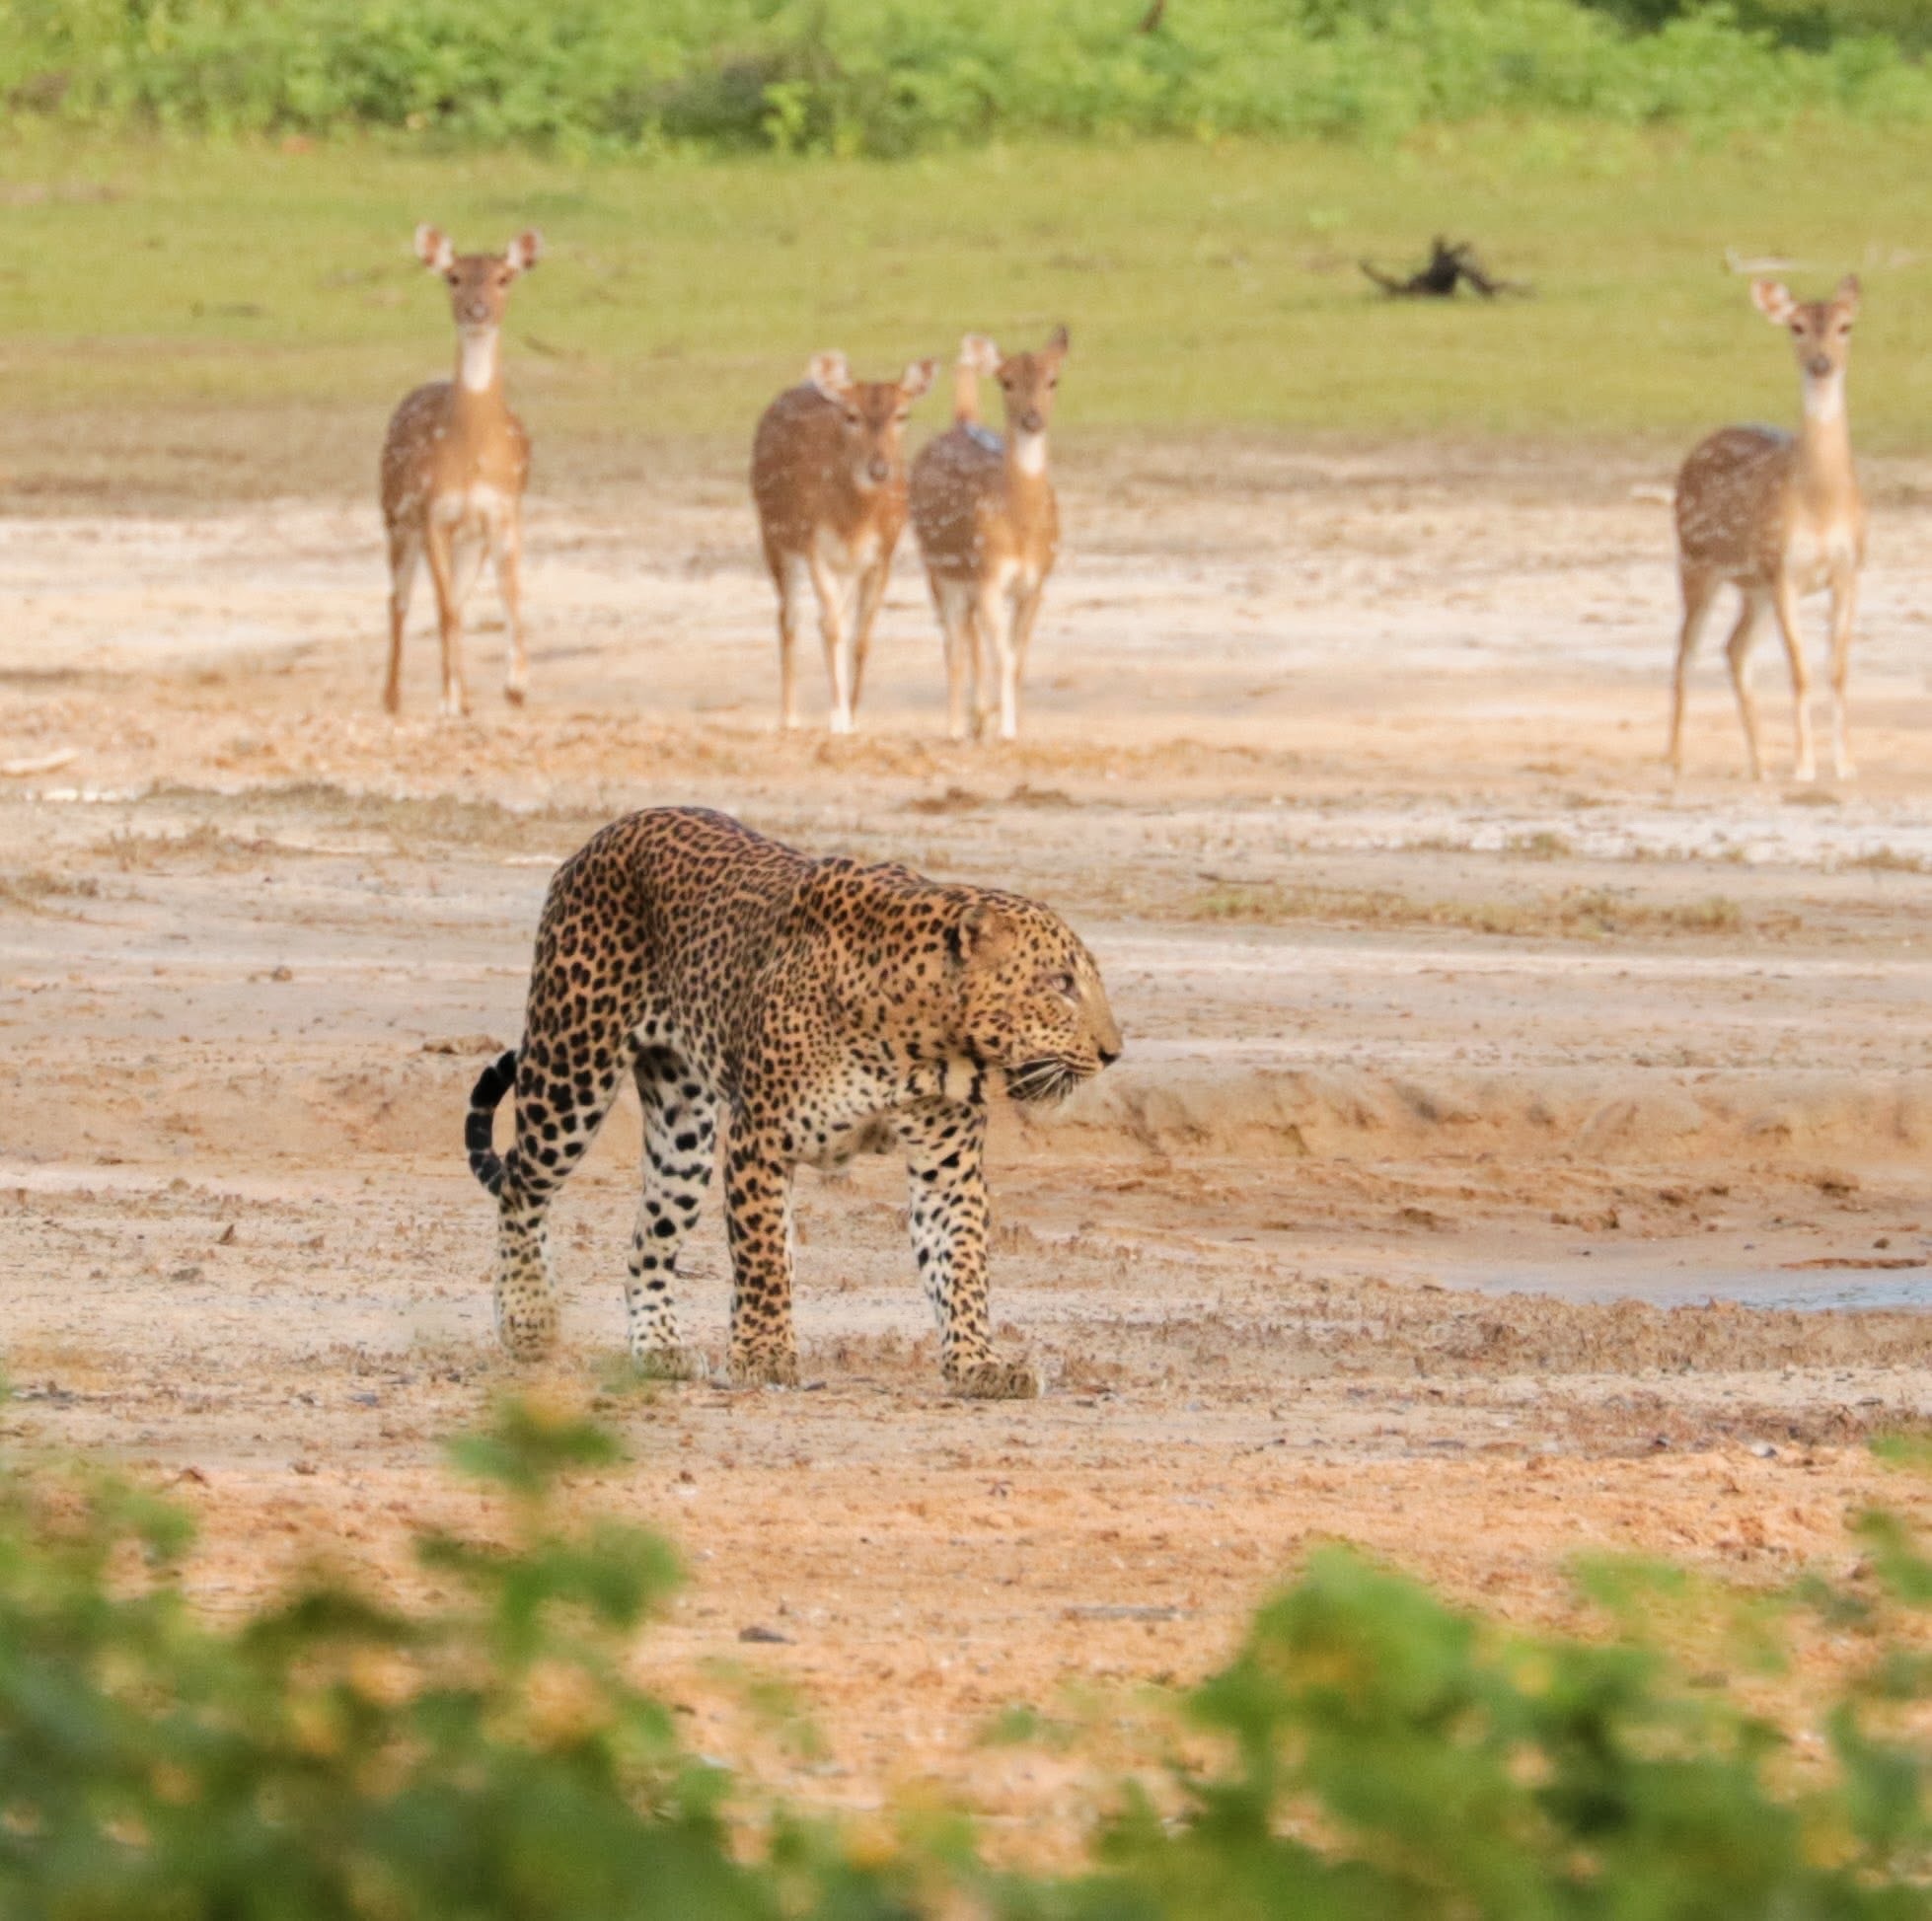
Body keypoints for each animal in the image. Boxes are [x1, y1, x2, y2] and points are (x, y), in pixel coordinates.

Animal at [466, 806, 1121, 1397]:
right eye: (1060, 984)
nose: (1114, 1052)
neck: (922, 1040)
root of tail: (605, 834)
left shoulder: (948, 1168)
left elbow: (960, 1266)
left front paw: (978, 1364)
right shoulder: (759, 1141)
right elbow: (765, 1261)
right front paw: (762, 1355)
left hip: (684, 1137)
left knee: (647, 1242)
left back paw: (659, 1349)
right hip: (571, 1069)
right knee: (522, 1184)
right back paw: (528, 1318)